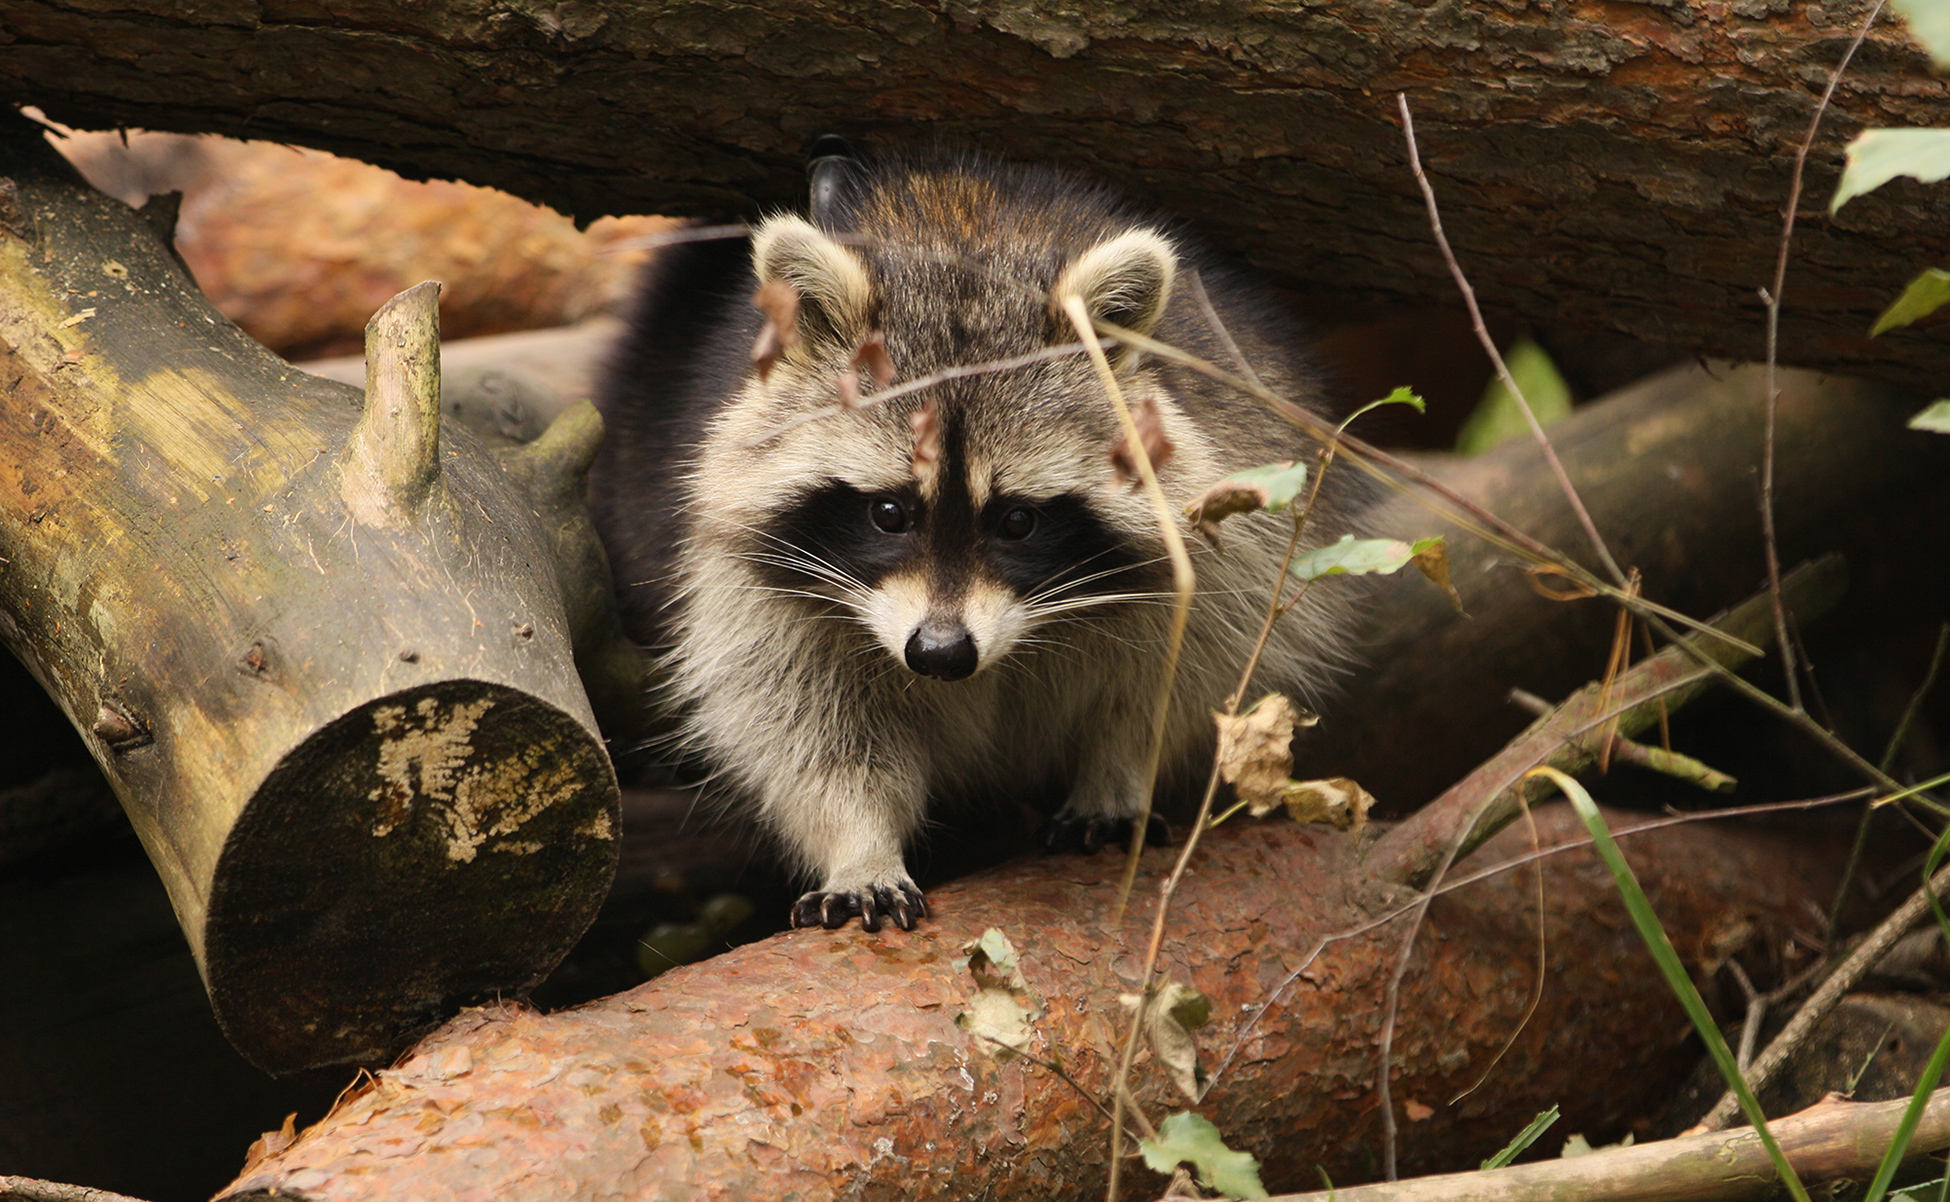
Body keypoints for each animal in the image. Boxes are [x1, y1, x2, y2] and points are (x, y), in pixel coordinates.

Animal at [589, 144, 1356, 933]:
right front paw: (859, 844)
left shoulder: (1225, 522)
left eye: (1017, 521)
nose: (940, 653)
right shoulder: (750, 574)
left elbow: (1174, 678)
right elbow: (798, 721)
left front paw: (1118, 771)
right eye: (889, 513)